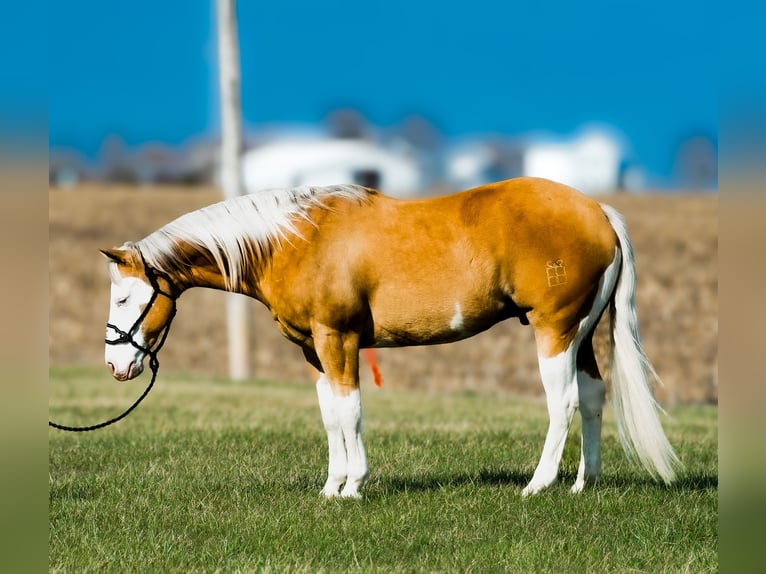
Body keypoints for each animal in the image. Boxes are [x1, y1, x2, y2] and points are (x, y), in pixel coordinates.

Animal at [99, 177, 680, 500]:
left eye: (124, 299)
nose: (115, 367)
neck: (295, 240)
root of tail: (598, 211)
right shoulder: (314, 351)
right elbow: (332, 416)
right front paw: (331, 487)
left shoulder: (339, 340)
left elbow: (351, 411)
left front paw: (354, 486)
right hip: (581, 335)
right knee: (592, 398)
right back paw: (584, 483)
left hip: (554, 331)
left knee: (562, 404)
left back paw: (538, 485)